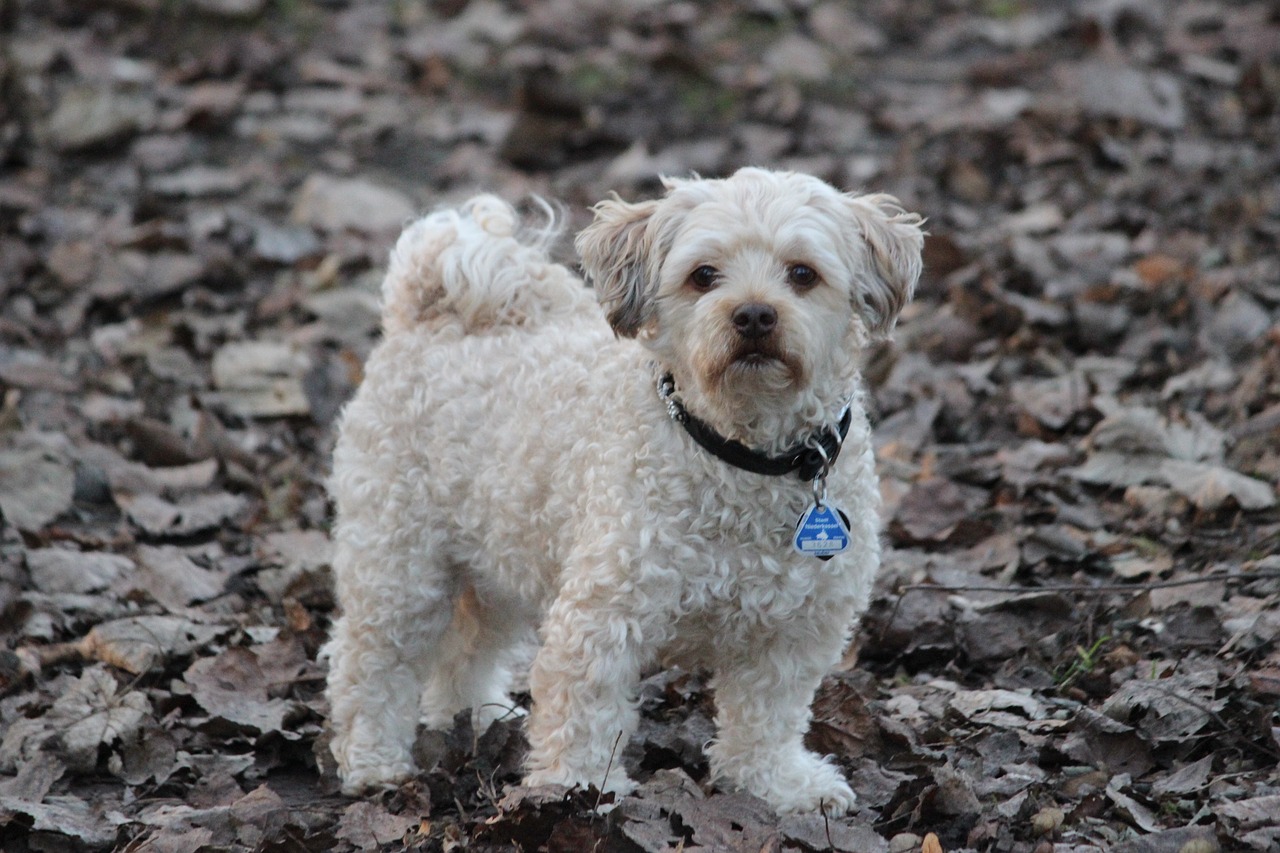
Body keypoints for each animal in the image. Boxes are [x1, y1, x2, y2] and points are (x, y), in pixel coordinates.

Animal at [320, 166, 921, 809]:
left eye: (803, 273)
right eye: (703, 275)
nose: (755, 315)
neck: (742, 456)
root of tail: (435, 307)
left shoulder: (796, 627)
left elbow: (769, 714)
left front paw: (776, 782)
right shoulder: (601, 614)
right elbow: (585, 705)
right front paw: (578, 789)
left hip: (498, 553)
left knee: (467, 649)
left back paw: (476, 718)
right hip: (399, 559)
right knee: (368, 661)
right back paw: (372, 761)